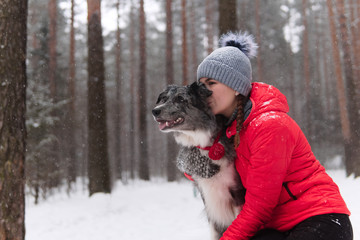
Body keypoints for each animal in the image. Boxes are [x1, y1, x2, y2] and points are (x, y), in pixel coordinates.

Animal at [152, 82, 245, 238]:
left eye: (181, 99)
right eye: (164, 98)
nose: (155, 111)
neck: (205, 144)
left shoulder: (238, 193)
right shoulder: (207, 198)